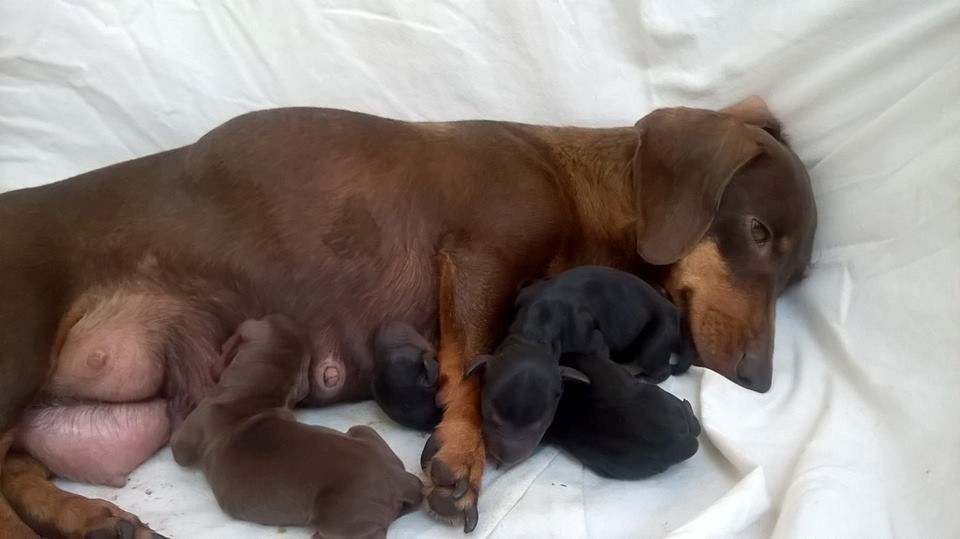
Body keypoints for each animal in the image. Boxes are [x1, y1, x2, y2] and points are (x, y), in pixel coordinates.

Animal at [168, 314, 420, 539]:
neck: (254, 395)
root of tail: (400, 479)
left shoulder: (190, 434)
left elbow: (178, 448)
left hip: (341, 517)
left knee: (373, 533)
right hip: (362, 430)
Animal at [466, 266, 696, 468]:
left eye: (541, 425)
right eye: (489, 415)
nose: (506, 460)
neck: (534, 333)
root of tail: (675, 311)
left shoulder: (593, 342)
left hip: (656, 338)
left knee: (661, 369)